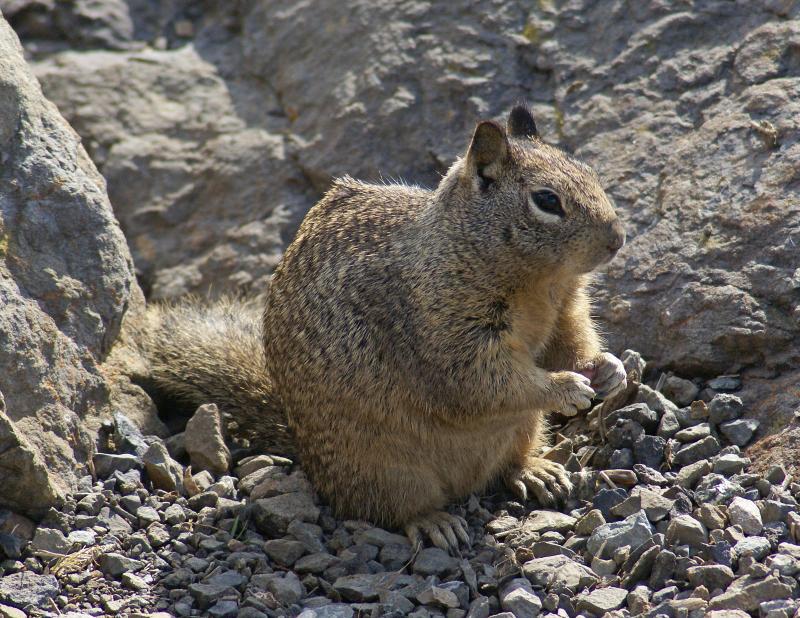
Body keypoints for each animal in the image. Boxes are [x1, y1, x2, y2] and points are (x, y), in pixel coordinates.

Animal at [138, 105, 627, 551]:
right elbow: (482, 383)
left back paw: (537, 471)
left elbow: (570, 341)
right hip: (384, 467)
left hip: (523, 428)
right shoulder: (445, 328)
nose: (617, 239)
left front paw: (608, 368)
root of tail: (306, 454)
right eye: (547, 201)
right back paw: (435, 522)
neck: (540, 283)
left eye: (589, 171)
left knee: (509, 463)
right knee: (392, 508)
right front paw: (566, 387)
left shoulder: (565, 309)